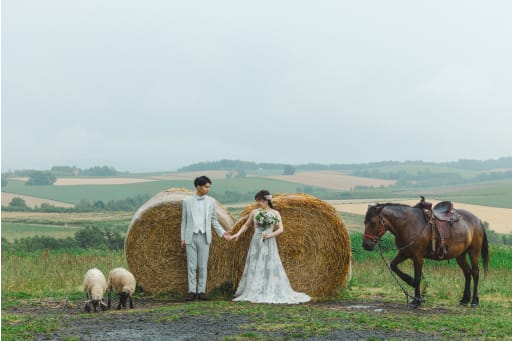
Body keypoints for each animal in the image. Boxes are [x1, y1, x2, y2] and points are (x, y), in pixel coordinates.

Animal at [362, 201, 490, 306]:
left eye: (373, 222)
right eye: (365, 222)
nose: (366, 245)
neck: (407, 224)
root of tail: (477, 220)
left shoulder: (418, 256)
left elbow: (418, 277)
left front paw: (417, 300)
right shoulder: (404, 253)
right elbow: (393, 266)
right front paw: (410, 281)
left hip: (474, 252)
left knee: (475, 273)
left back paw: (474, 301)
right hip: (460, 255)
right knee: (467, 273)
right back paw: (464, 299)